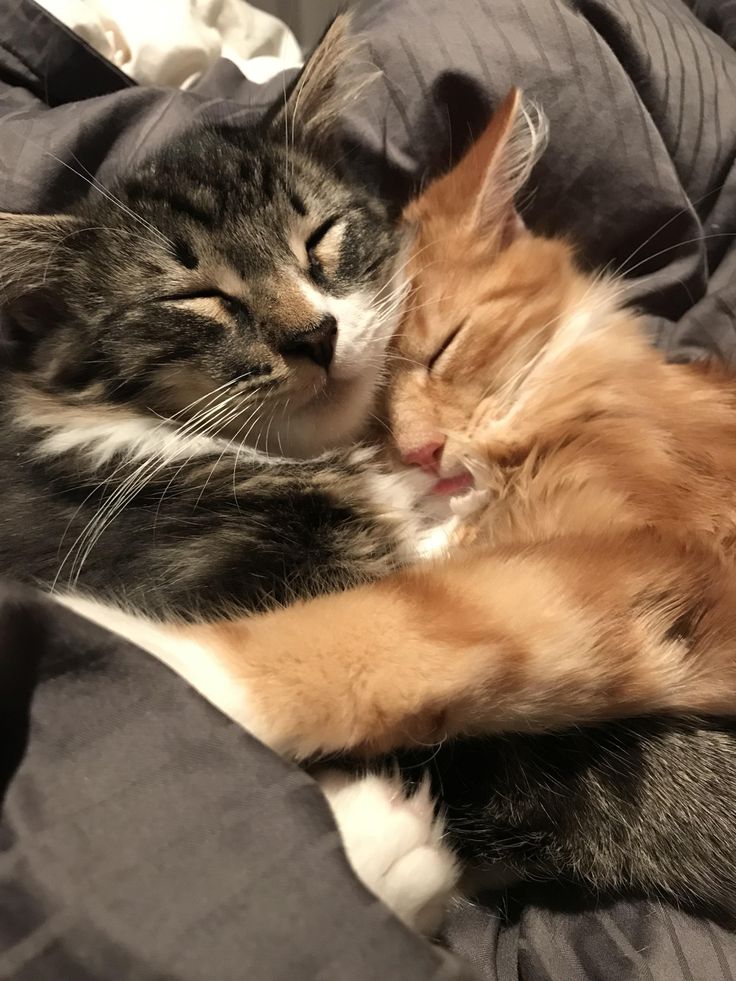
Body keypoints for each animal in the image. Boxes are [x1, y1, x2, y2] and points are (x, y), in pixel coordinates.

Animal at [67, 90, 736, 756]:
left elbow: (373, 631)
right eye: (371, 421)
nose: (422, 451)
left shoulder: (641, 565)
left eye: (444, 350)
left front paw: (116, 638)